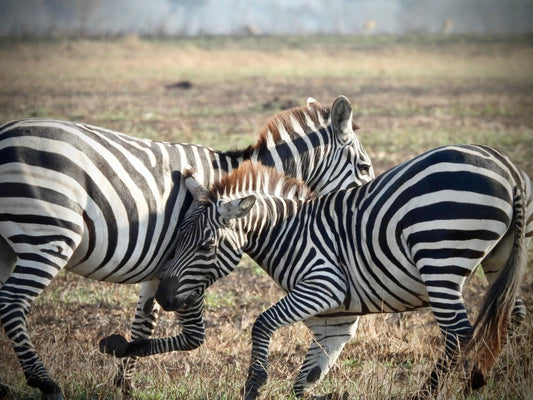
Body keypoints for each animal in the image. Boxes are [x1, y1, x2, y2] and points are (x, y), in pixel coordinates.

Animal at [0, 95, 374, 398]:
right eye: (365, 166)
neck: (236, 183)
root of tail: (6, 133)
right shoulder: (189, 265)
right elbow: (194, 335)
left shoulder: (163, 268)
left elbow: (145, 321)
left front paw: (126, 380)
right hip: (48, 235)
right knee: (12, 302)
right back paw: (45, 383)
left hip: (6, 245)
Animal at [142, 146, 532, 400]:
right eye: (177, 239)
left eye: (206, 246)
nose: (163, 298)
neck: (287, 230)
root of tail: (508, 171)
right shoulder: (335, 315)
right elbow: (307, 377)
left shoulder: (323, 285)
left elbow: (262, 323)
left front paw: (254, 385)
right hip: (503, 256)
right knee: (509, 318)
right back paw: (482, 382)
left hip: (440, 260)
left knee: (459, 333)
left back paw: (431, 392)